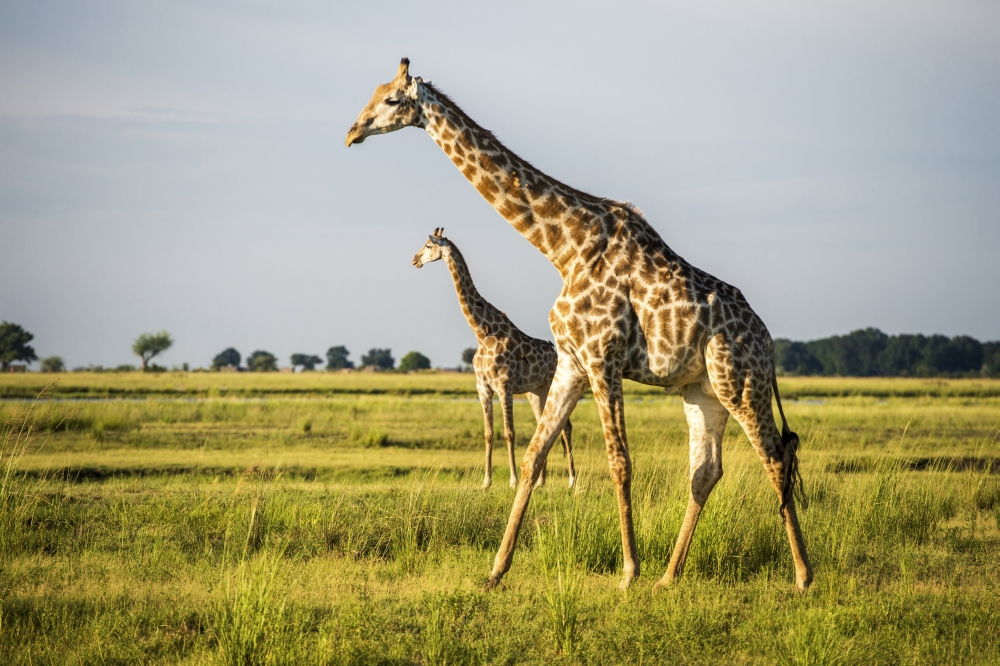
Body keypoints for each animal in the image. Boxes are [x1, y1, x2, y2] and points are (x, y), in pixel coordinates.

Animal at [412, 227, 576, 490]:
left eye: (428, 245)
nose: (414, 260)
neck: (482, 333)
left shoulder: (504, 386)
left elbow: (509, 432)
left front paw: (513, 480)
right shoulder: (483, 388)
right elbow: (488, 433)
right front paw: (486, 481)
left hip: (553, 385)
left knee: (565, 427)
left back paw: (571, 481)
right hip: (536, 391)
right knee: (544, 427)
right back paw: (540, 482)